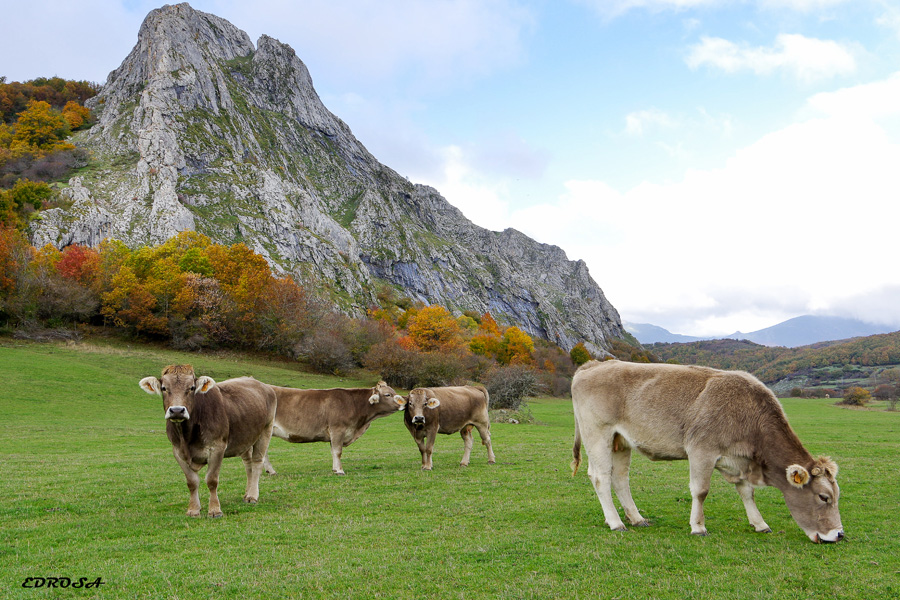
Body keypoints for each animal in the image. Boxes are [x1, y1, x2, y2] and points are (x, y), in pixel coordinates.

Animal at [137, 364, 276, 516]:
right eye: (164, 388)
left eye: (192, 387)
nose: (177, 410)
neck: (187, 437)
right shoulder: (177, 451)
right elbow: (192, 482)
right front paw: (193, 509)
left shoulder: (217, 448)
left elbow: (212, 480)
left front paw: (215, 510)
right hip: (246, 438)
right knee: (248, 464)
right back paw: (246, 494)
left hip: (265, 430)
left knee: (257, 462)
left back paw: (252, 496)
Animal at [258, 382, 402, 476]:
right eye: (388, 394)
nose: (404, 403)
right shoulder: (338, 429)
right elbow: (338, 451)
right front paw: (340, 470)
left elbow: (333, 451)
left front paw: (334, 469)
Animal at [568, 360, 844, 544]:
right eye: (824, 497)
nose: (839, 534)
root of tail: (594, 364)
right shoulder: (702, 450)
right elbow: (700, 491)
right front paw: (698, 527)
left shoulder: (738, 460)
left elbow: (747, 493)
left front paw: (760, 523)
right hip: (598, 434)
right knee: (601, 477)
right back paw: (615, 522)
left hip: (621, 441)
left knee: (620, 478)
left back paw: (636, 518)